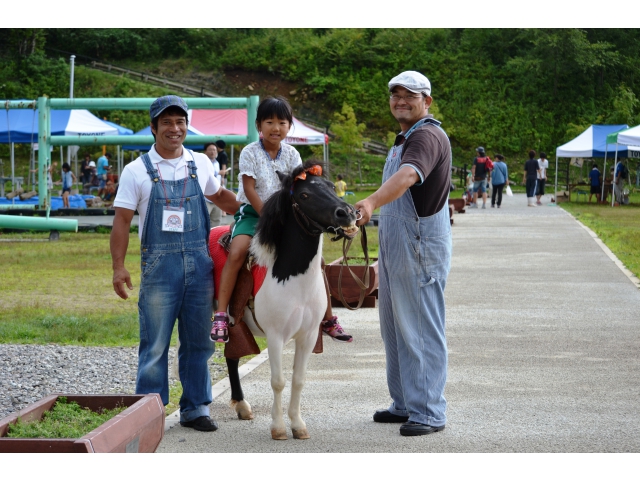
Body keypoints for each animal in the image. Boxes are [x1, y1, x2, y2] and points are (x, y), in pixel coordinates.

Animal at [226, 161, 360, 438]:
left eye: (331, 186)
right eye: (304, 195)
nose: (347, 213)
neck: (291, 279)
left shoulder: (308, 336)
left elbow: (298, 380)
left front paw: (297, 425)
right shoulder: (276, 337)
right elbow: (278, 381)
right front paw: (278, 428)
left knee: (232, 357)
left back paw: (242, 406)